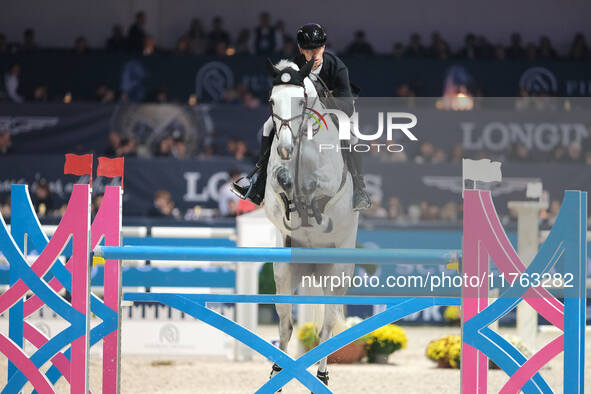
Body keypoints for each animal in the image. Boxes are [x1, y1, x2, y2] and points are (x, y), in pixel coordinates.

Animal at [264, 60, 360, 390]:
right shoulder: (273, 182)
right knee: (285, 324)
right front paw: (291, 200)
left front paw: (309, 206)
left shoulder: (330, 182)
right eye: (272, 101)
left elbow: (316, 187)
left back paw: (322, 376)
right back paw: (277, 373)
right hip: (285, 272)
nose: (284, 148)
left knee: (326, 329)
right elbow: (281, 181)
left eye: (300, 101)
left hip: (337, 274)